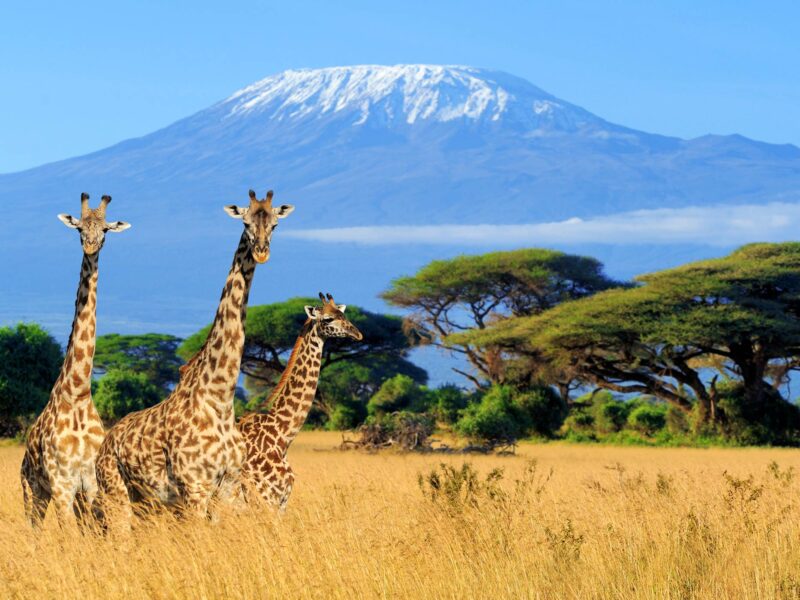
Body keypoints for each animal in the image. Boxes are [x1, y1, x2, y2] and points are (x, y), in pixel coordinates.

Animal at [20, 193, 131, 529]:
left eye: (105, 230)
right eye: (79, 228)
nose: (91, 246)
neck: (78, 392)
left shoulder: (90, 484)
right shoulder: (62, 485)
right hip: (32, 490)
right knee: (33, 529)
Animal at [93, 189, 293, 527]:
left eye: (275, 224)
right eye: (245, 222)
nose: (262, 252)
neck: (220, 399)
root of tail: (105, 443)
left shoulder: (228, 487)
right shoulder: (195, 488)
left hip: (146, 502)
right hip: (115, 492)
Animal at [237, 293, 362, 510]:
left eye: (343, 315)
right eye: (327, 319)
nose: (358, 334)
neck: (281, 436)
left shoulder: (281, 502)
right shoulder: (266, 499)